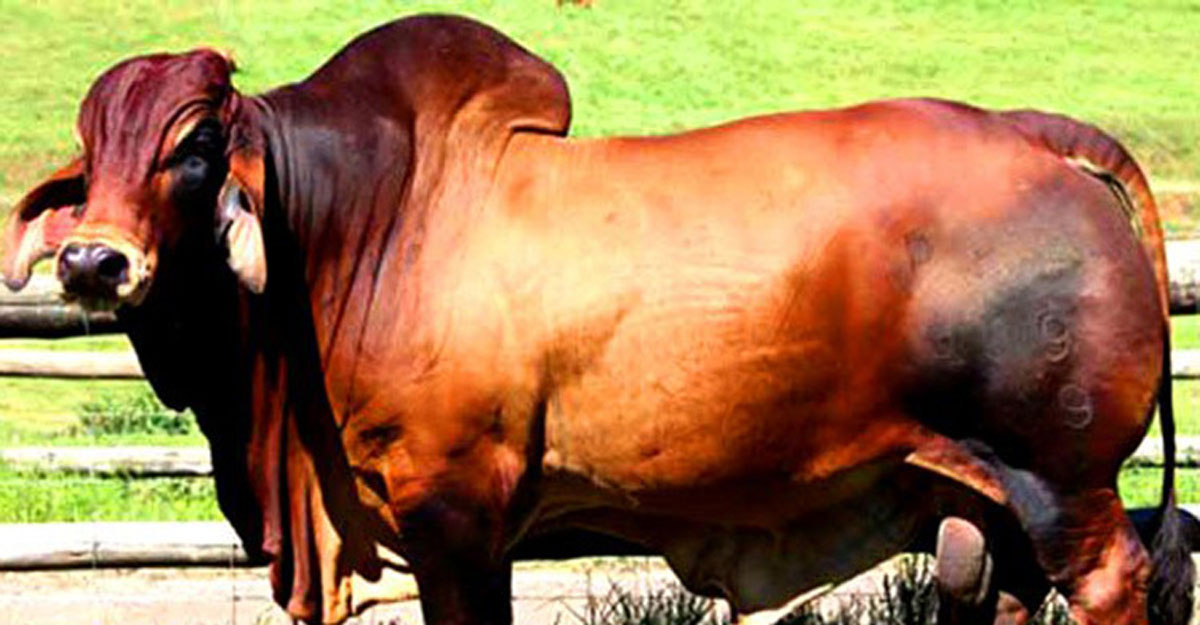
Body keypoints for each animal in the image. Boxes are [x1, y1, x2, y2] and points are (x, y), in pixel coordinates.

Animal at [0, 14, 1192, 625]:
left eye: (196, 145)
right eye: (92, 148)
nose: (94, 259)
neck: (349, 227)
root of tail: (1042, 133)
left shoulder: (453, 513)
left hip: (1064, 484)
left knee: (1112, 580)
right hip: (998, 493)